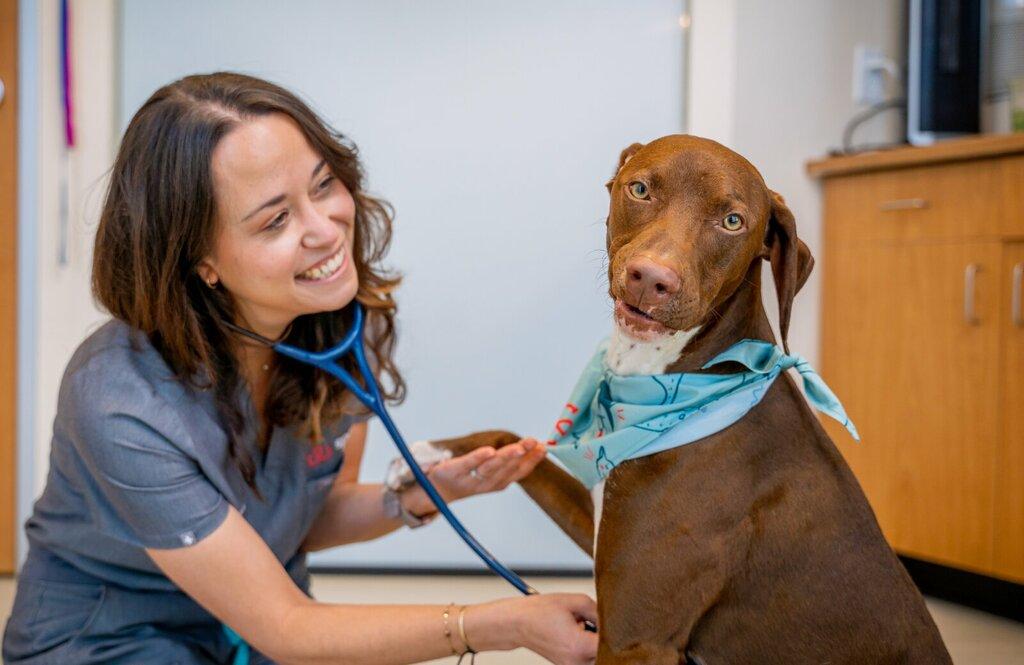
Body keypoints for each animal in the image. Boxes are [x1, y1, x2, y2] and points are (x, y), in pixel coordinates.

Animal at [419, 136, 946, 663]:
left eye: (732, 221)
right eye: (640, 189)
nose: (651, 279)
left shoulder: (635, 640)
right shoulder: (601, 532)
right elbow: (510, 442)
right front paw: (425, 461)